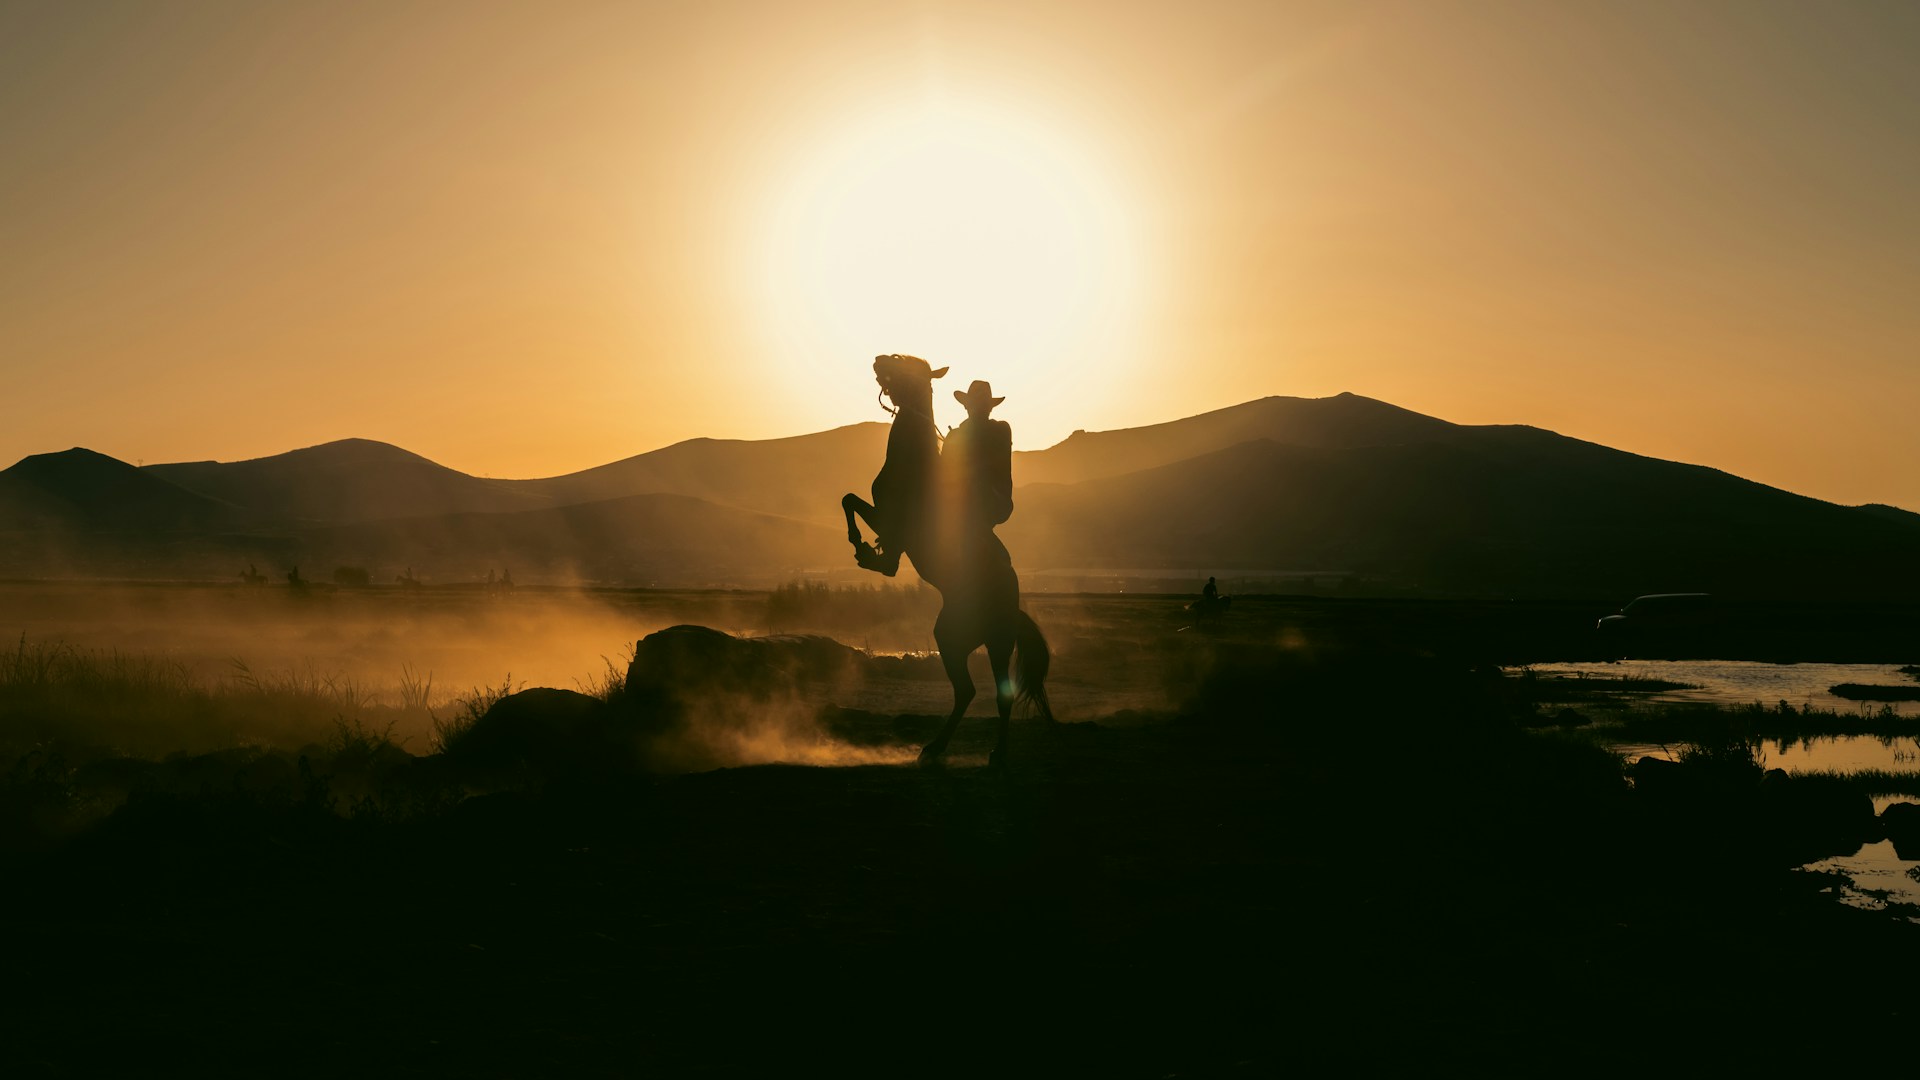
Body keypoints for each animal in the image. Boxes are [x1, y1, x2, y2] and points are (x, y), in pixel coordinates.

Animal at [840, 353, 1052, 764]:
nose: (878, 359)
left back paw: (969, 751)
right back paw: (952, 749)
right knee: (977, 693)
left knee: (984, 692)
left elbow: (850, 503)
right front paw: (866, 550)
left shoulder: (890, 521)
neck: (914, 461)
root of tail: (1013, 606)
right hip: (969, 640)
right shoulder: (888, 522)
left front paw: (861, 547)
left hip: (978, 642)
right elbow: (850, 501)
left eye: (906, 365)